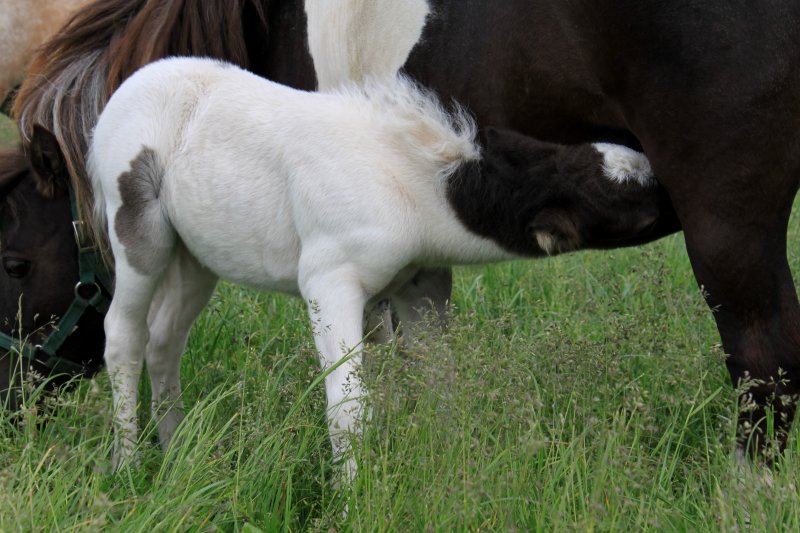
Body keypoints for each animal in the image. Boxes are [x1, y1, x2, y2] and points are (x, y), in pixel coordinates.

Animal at [3, 0, 799, 459]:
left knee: (163, 339)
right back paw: (134, 463)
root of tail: (130, 93)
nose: (673, 197)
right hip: (145, 244)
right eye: (625, 197)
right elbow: (353, 407)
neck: (412, 184)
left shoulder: (413, 282)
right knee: (125, 339)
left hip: (196, 257)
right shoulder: (331, 282)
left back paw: (175, 455)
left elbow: (434, 383)